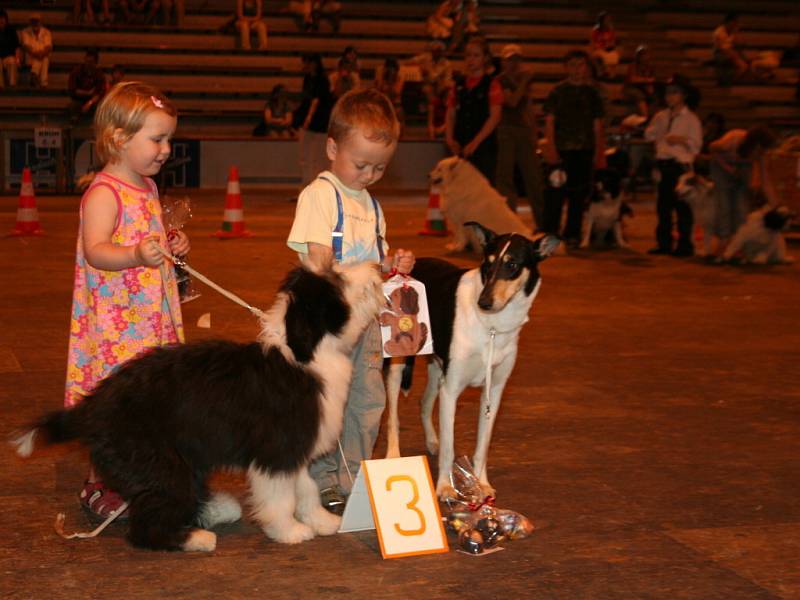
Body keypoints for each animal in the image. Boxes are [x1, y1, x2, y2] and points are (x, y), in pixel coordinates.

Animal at [13, 262, 384, 552]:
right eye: (337, 280)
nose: (377, 266)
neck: (305, 356)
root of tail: (94, 405)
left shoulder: (296, 450)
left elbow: (305, 488)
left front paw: (321, 521)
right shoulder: (276, 451)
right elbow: (282, 496)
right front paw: (288, 531)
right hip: (158, 460)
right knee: (145, 524)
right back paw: (195, 538)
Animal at [384, 223, 560, 500]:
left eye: (512, 265)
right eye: (487, 264)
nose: (484, 302)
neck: (492, 327)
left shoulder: (493, 392)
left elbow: (483, 446)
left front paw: (481, 484)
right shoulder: (451, 389)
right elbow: (449, 447)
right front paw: (445, 488)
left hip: (437, 368)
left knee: (424, 402)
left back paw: (431, 441)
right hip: (398, 364)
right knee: (392, 417)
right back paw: (393, 456)